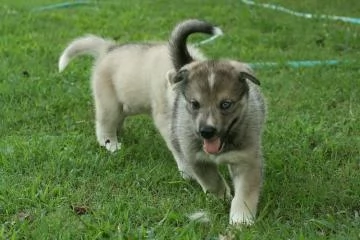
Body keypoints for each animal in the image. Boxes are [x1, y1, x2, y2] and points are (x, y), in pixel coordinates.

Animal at [167, 30, 266, 225]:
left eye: (226, 104)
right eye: (195, 104)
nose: (206, 131)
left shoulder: (247, 160)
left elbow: (244, 193)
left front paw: (241, 219)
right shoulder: (197, 158)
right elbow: (211, 181)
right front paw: (221, 198)